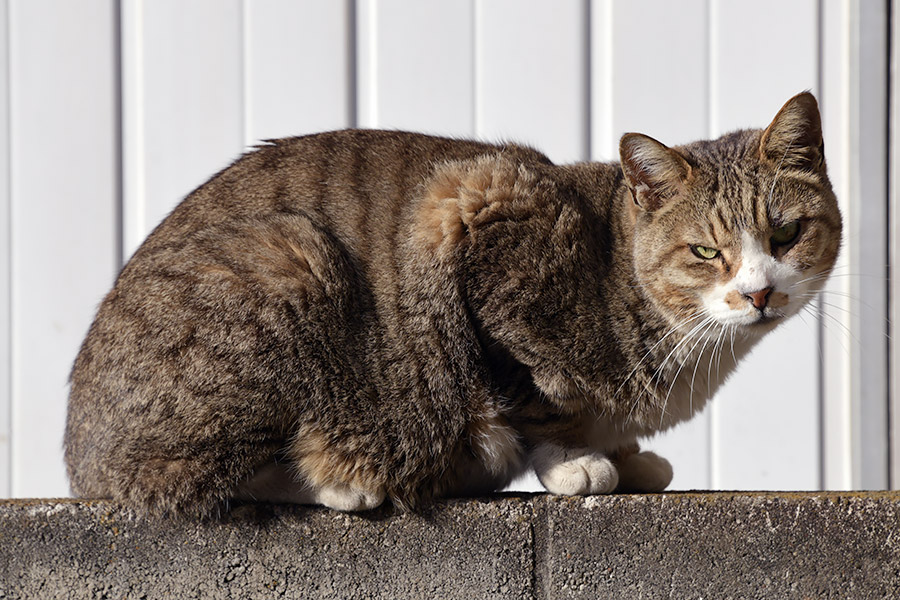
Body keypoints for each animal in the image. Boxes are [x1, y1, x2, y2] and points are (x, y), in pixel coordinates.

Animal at [65, 90, 844, 516]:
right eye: (707, 253)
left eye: (785, 233)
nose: (759, 291)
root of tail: (80, 460)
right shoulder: (466, 208)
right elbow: (526, 388)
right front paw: (576, 462)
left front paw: (627, 457)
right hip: (290, 262)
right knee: (200, 477)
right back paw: (345, 480)